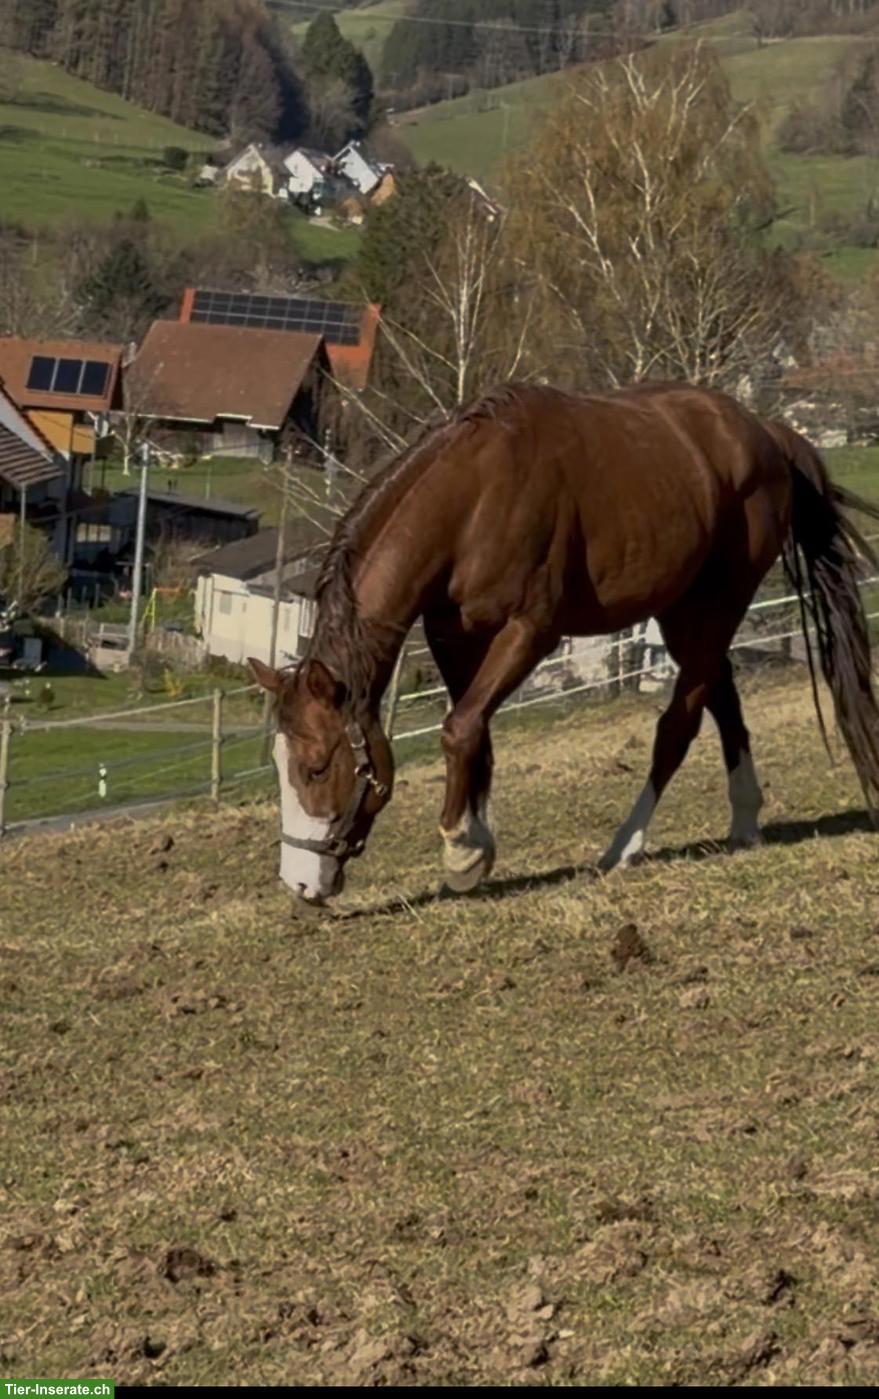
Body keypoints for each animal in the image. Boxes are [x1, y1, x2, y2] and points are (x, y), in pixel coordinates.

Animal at [250, 381, 879, 907]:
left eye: (315, 767)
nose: (300, 883)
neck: (472, 500)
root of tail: (766, 434)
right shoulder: (454, 636)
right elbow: (474, 733)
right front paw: (477, 846)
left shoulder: (531, 630)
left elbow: (459, 729)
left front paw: (461, 847)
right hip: (683, 613)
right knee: (722, 697)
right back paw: (745, 821)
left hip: (715, 605)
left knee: (679, 724)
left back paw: (625, 847)